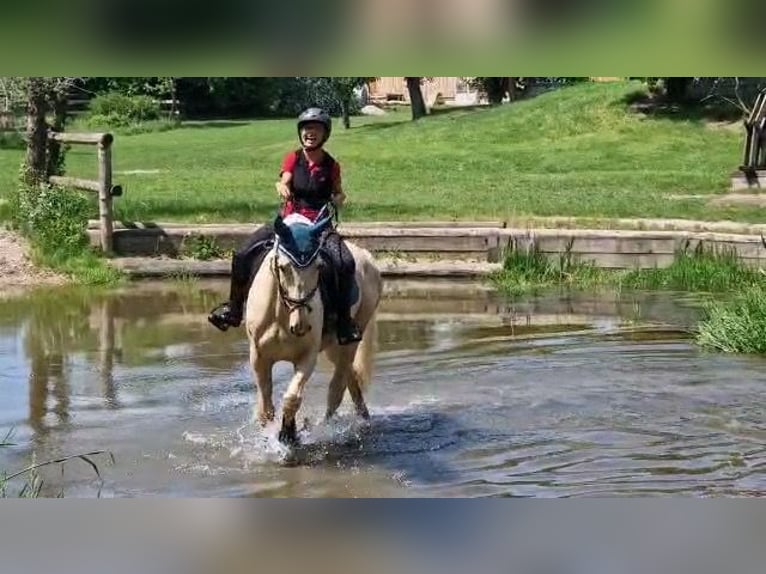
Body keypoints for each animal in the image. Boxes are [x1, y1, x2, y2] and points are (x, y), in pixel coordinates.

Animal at [243, 207, 384, 446]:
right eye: (283, 267)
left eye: (319, 267)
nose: (301, 326)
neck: (281, 316)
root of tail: (367, 257)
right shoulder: (259, 357)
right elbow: (265, 405)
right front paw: (269, 432)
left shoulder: (306, 357)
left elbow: (292, 398)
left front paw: (288, 435)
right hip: (333, 348)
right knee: (351, 378)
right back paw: (363, 416)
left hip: (349, 340)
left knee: (337, 388)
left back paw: (328, 426)